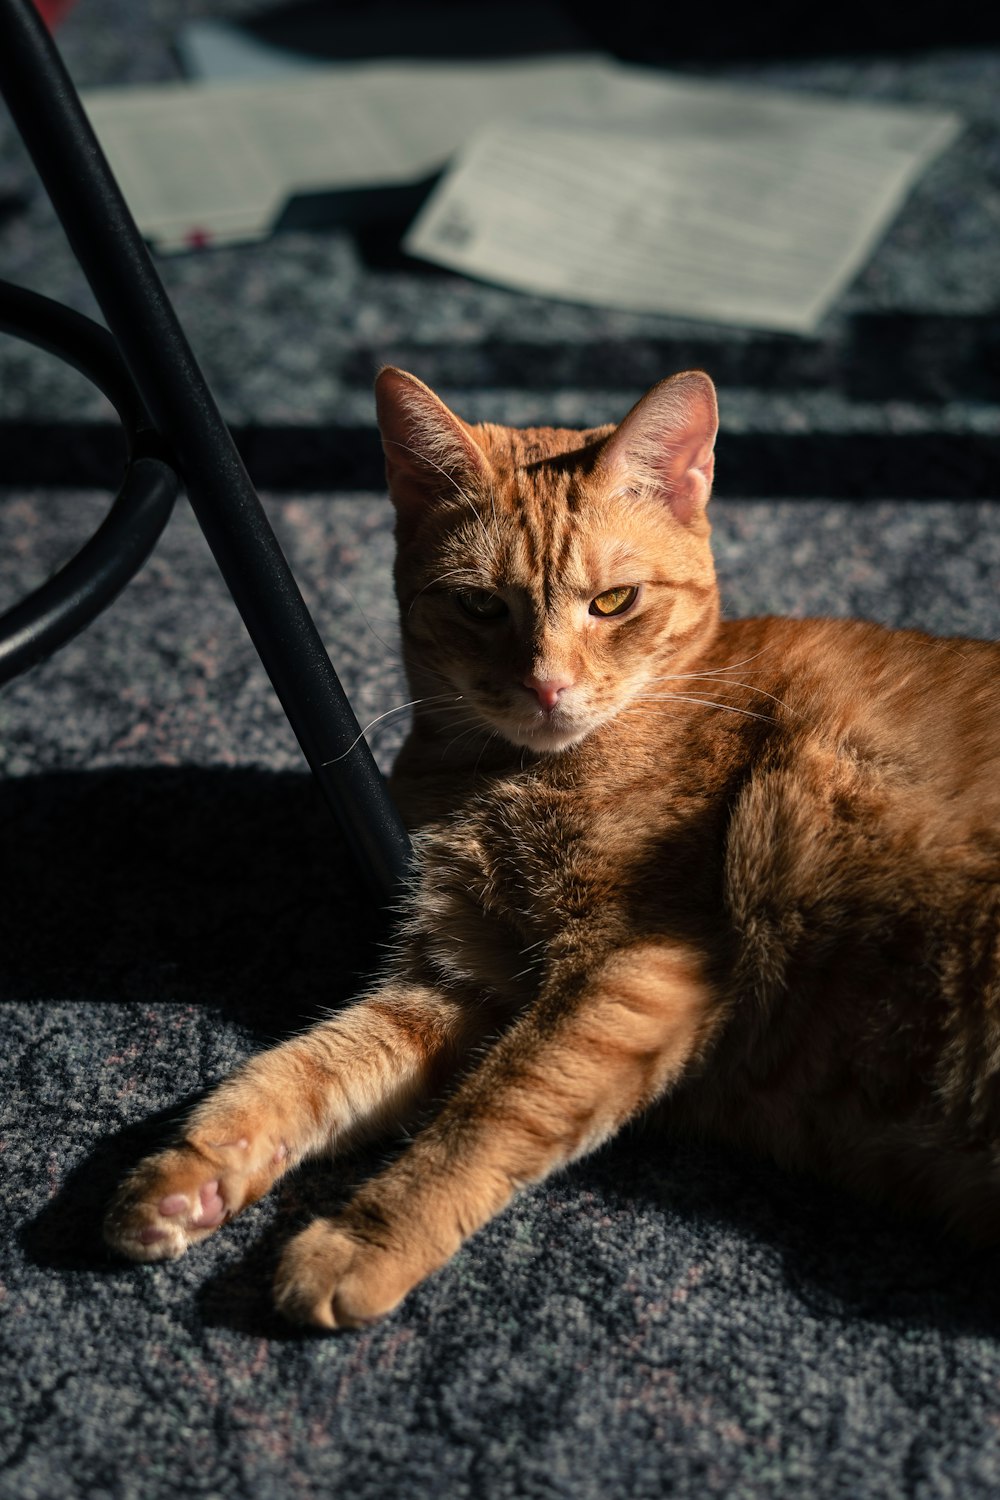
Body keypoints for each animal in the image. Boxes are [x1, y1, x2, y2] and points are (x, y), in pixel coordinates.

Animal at [105, 369, 1000, 1332]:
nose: (547, 684)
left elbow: (488, 1115)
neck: (497, 779)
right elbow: (296, 1071)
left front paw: (360, 1240)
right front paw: (191, 1174)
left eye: (612, 603)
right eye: (479, 604)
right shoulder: (454, 985)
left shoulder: (631, 968)